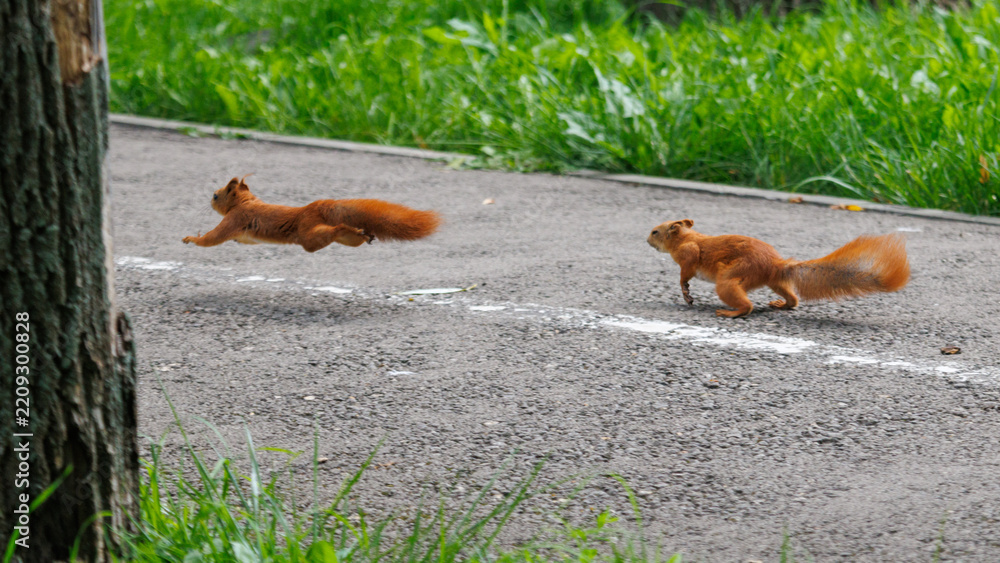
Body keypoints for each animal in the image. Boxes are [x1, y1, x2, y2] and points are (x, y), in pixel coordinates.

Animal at [182, 175, 441, 252]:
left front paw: (191, 238)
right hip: (342, 239)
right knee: (349, 235)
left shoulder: (235, 218)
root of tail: (313, 208)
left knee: (336, 229)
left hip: (308, 237)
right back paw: (364, 233)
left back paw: (350, 228)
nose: (210, 200)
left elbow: (213, 238)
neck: (245, 202)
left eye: (216, 196)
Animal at [647, 219, 910, 318]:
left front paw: (685, 290)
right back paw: (781, 304)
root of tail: (775, 263)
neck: (685, 238)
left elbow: (686, 272)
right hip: (774, 282)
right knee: (793, 299)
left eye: (655, 231)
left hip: (731, 278)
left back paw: (730, 312)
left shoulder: (689, 253)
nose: (646, 240)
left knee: (747, 306)